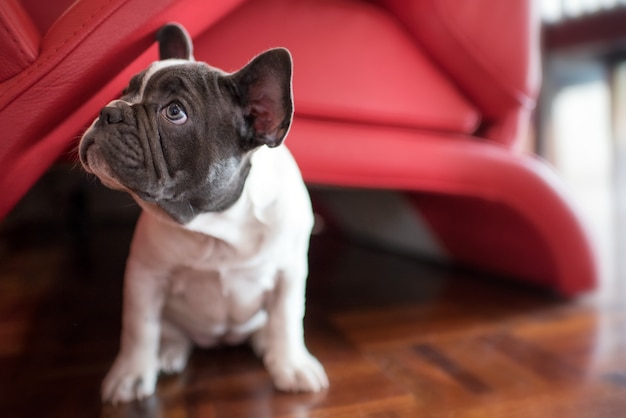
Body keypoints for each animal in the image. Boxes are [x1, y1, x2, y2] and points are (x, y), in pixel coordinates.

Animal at [79, 23, 326, 404]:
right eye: (125, 91)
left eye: (174, 112)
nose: (109, 110)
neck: (216, 222)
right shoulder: (145, 277)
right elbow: (139, 329)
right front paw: (131, 375)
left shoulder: (289, 272)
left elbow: (287, 320)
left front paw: (291, 366)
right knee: (169, 332)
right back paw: (169, 351)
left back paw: (267, 346)